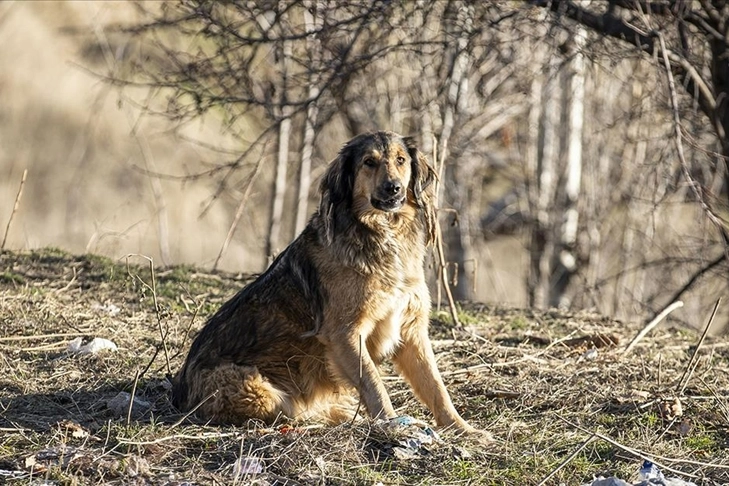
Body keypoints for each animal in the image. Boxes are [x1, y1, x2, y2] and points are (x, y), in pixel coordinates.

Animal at [171, 130, 478, 432]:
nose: (393, 188)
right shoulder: (345, 333)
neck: (382, 232)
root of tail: (180, 394)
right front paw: (391, 423)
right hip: (257, 388)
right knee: (290, 411)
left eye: (401, 160)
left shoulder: (410, 329)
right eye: (368, 162)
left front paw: (462, 428)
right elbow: (374, 383)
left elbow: (435, 386)